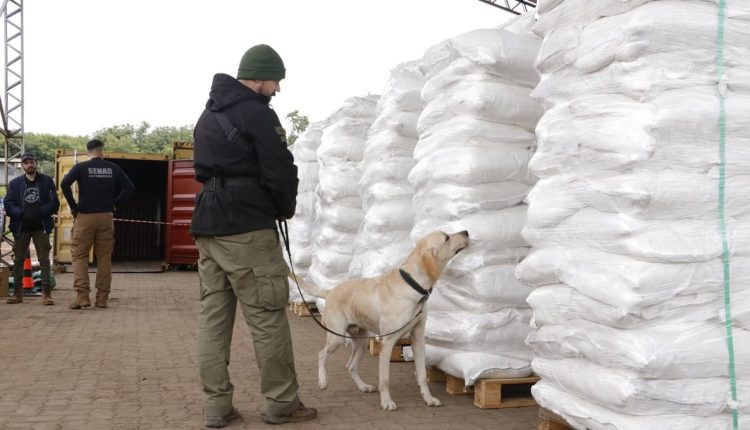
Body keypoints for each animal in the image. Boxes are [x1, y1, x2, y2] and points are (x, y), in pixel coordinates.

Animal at [296, 230, 468, 412]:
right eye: (446, 237)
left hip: (362, 342)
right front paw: (386, 402)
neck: (412, 285)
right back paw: (323, 381)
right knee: (321, 354)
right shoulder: (387, 342)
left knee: (350, 366)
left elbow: (422, 374)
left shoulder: (418, 338)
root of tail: (330, 291)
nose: (466, 232)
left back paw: (363, 386)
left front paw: (428, 398)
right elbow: (384, 379)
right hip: (336, 338)